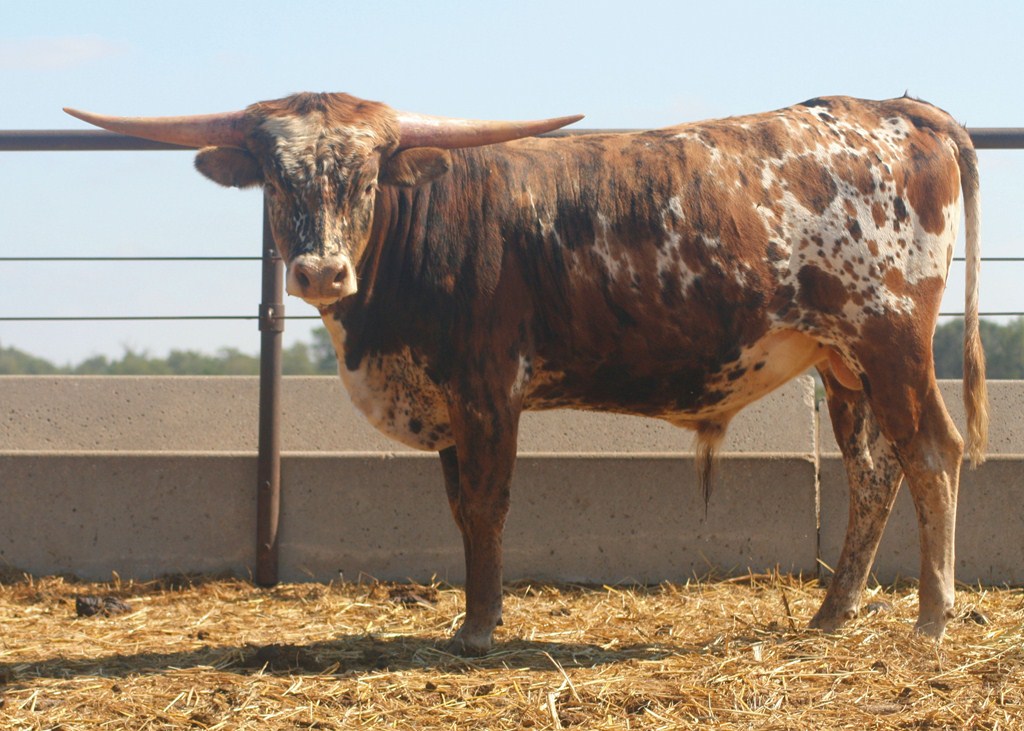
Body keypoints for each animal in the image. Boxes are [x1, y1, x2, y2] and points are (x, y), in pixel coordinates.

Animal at [65, 92, 987, 654]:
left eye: (364, 177)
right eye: (277, 179)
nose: (321, 272)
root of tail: (894, 108)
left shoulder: (486, 388)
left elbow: (485, 505)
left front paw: (479, 628)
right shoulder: (442, 397)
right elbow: (458, 506)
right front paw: (480, 615)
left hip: (892, 338)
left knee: (932, 454)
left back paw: (931, 616)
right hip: (843, 363)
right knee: (873, 472)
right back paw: (834, 613)